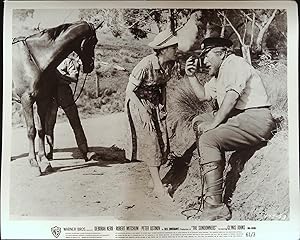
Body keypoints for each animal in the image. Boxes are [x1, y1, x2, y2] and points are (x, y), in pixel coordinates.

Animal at [12, 21, 99, 175]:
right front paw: (33, 163)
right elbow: (31, 131)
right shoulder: (26, 100)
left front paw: (44, 161)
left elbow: (41, 130)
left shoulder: (42, 100)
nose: (90, 66)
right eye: (93, 41)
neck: (36, 59)